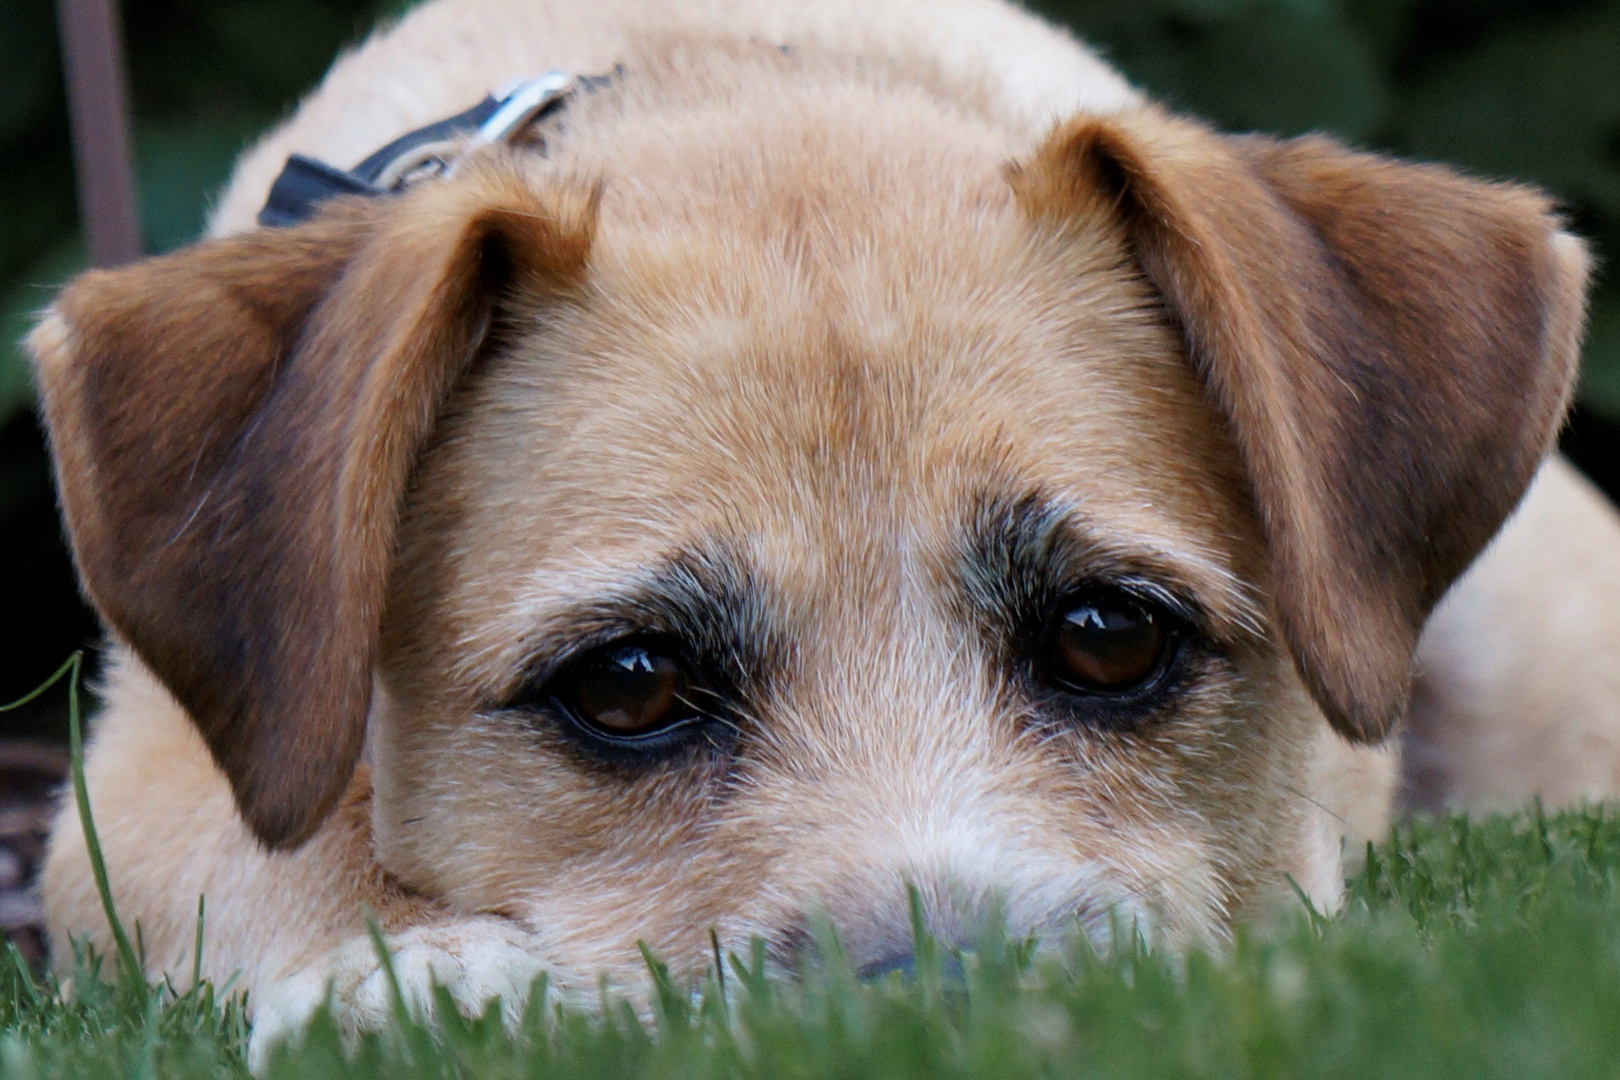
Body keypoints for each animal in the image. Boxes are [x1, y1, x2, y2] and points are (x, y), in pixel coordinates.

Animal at [25, 0, 1620, 1062]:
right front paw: (410, 976)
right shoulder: (131, 785)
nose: (952, 1017)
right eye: (628, 683)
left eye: (1110, 635)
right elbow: (266, 850)